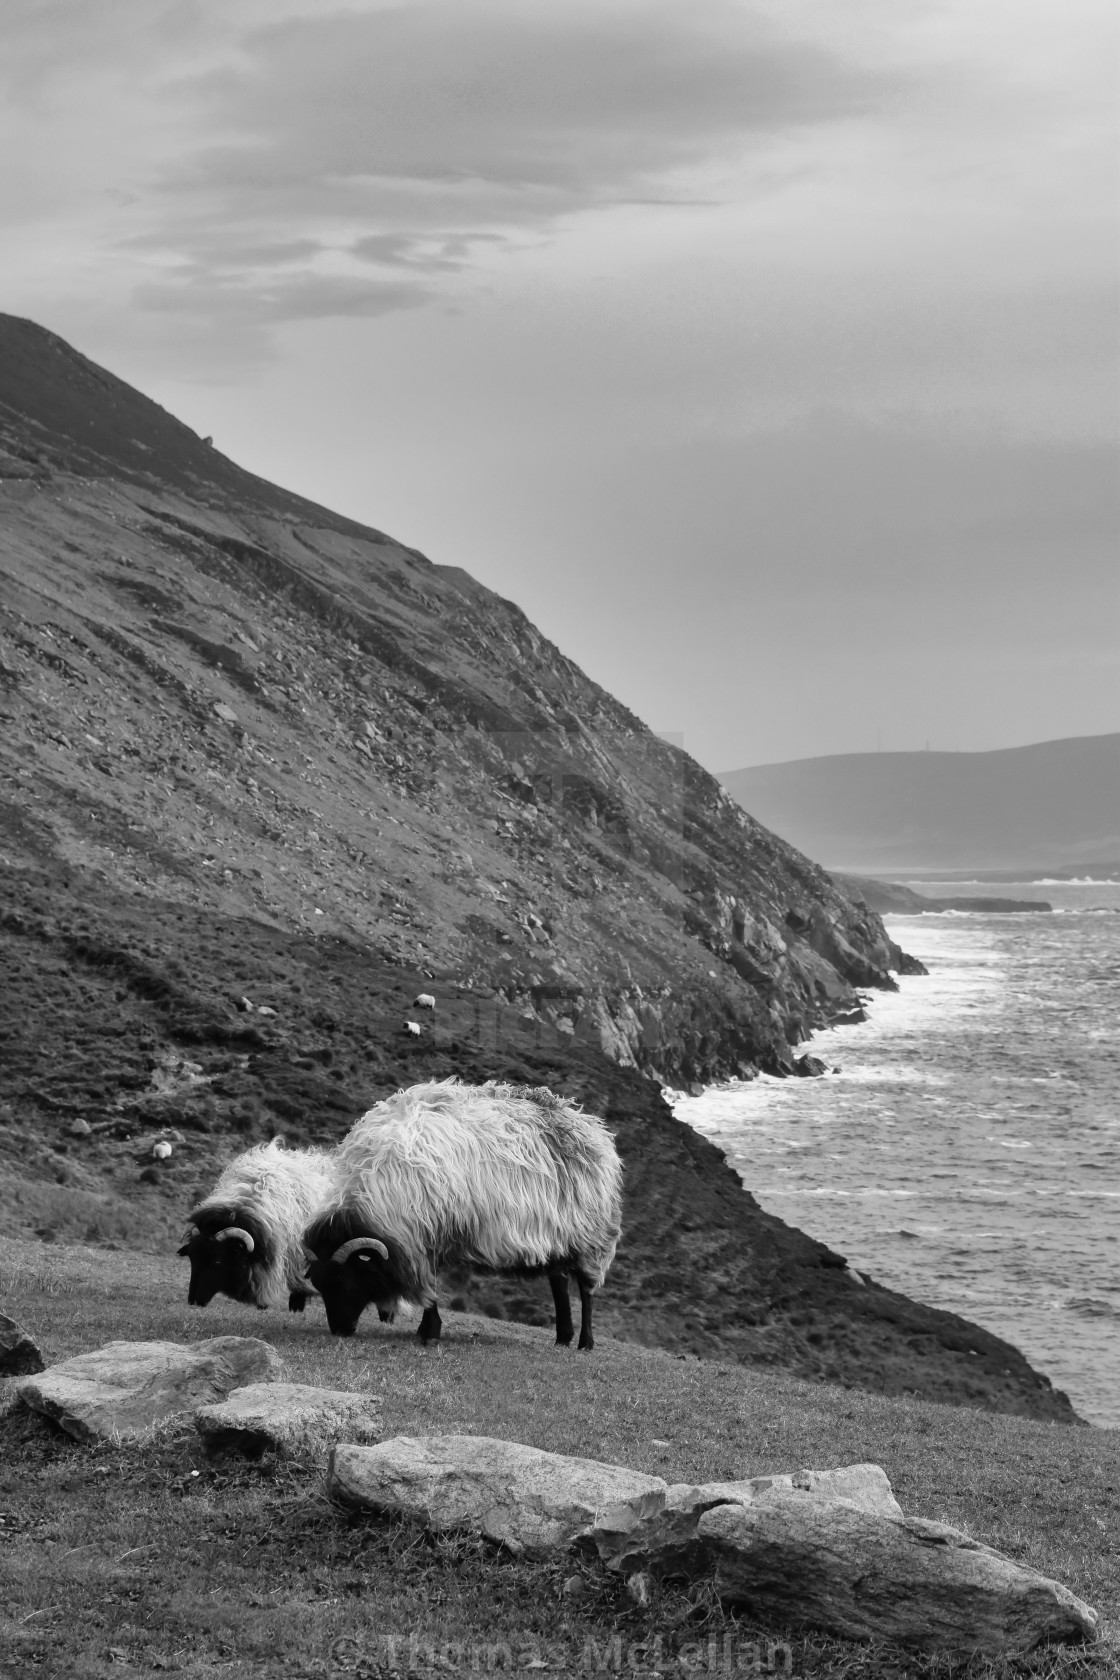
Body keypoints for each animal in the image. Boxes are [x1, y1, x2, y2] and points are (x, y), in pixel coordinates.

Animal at [302, 1075, 628, 1350]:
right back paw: (563, 1337)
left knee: (585, 1290)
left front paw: (430, 1333)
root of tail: (589, 1123)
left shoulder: (432, 1230)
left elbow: (431, 1285)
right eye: (319, 1284)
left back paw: (585, 1342)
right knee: (558, 1282)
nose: (340, 1330)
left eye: (345, 1280)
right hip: (557, 1235)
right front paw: (426, 1330)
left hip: (591, 1235)